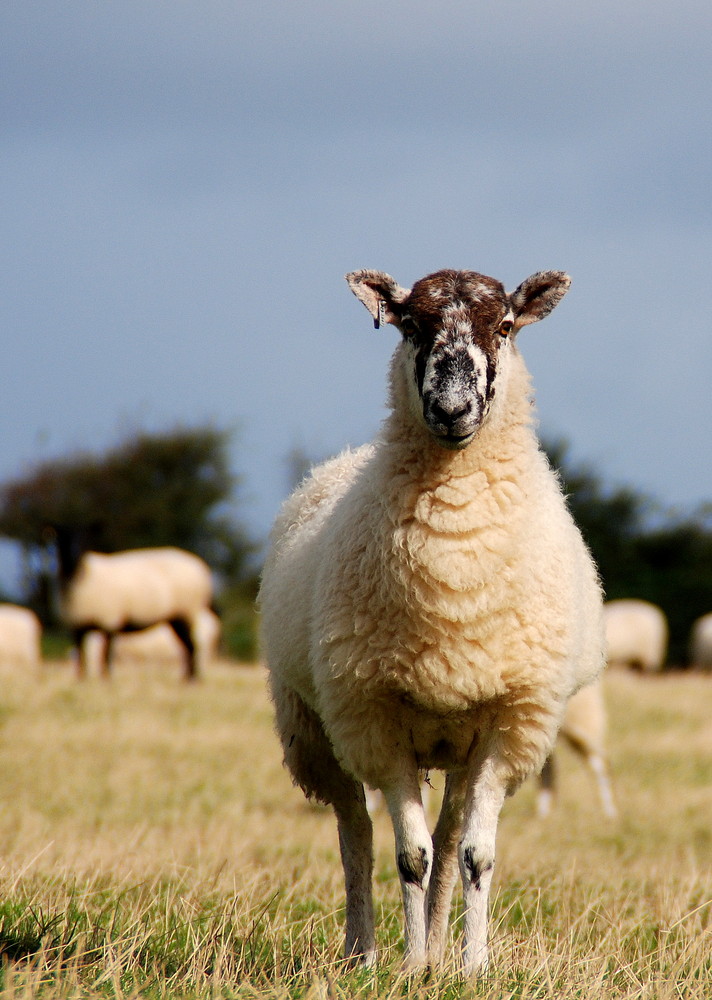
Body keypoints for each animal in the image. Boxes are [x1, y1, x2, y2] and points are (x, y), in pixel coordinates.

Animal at [55, 540, 213, 680]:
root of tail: (200, 568)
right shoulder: (79, 624)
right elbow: (85, 655)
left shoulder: (109, 621)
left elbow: (105, 655)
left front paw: (105, 679)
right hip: (176, 619)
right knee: (188, 647)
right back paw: (187, 677)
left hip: (186, 614)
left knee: (192, 647)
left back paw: (192, 678)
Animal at [258, 262, 604, 972]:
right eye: (410, 326)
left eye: (506, 325)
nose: (451, 410)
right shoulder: (377, 719)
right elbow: (409, 857)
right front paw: (413, 965)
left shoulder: (510, 723)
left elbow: (474, 855)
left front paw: (470, 967)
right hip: (315, 726)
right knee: (355, 831)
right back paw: (362, 953)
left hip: (459, 747)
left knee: (447, 838)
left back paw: (442, 951)